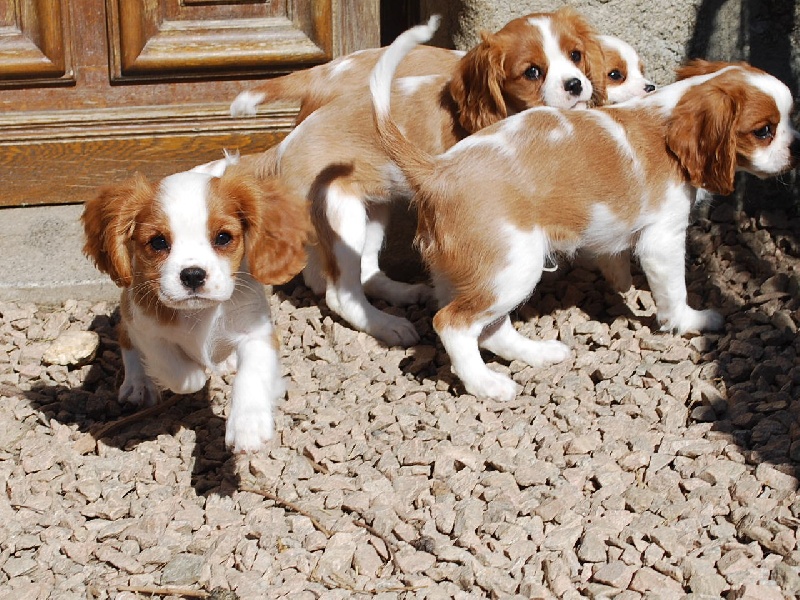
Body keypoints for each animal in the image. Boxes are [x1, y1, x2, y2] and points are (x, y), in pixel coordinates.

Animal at [80, 155, 312, 450]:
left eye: (223, 237)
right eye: (158, 242)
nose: (192, 275)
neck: (200, 313)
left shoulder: (257, 331)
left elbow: (253, 372)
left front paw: (248, 425)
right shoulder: (143, 324)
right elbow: (176, 369)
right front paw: (194, 374)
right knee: (125, 340)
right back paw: (138, 383)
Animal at [245, 7, 608, 346]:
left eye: (576, 55)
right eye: (532, 72)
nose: (575, 84)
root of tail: (282, 149)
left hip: (373, 210)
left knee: (362, 269)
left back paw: (402, 293)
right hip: (341, 214)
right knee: (340, 293)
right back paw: (388, 325)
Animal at [372, 18, 800, 404]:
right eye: (764, 130)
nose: (797, 146)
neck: (666, 112)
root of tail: (437, 170)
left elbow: (616, 264)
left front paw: (626, 292)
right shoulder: (663, 239)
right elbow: (674, 291)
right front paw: (690, 322)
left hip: (475, 271)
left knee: (489, 327)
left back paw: (537, 354)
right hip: (512, 266)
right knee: (452, 324)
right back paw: (487, 384)